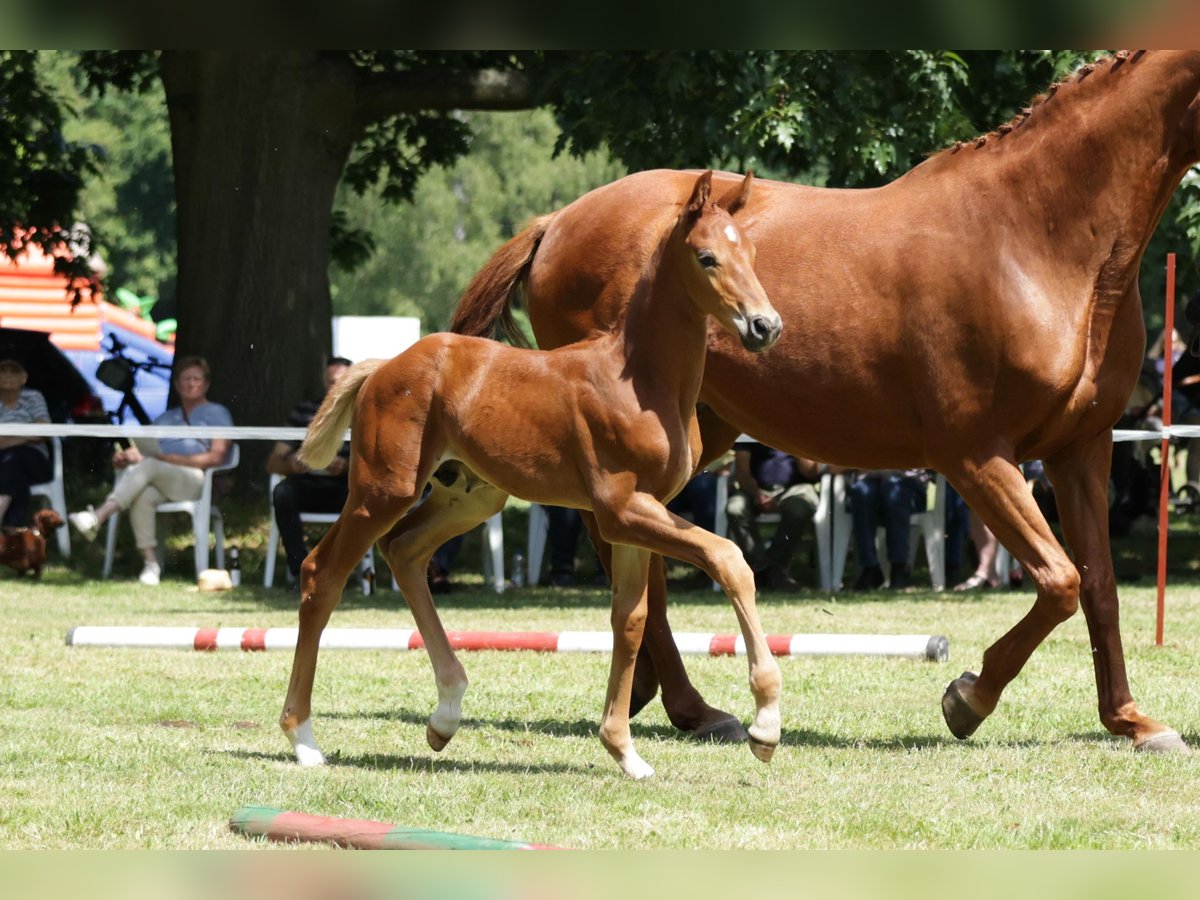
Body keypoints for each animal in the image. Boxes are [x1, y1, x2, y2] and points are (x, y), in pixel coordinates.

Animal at [282, 172, 787, 777]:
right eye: (707, 256)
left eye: (752, 253)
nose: (765, 326)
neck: (641, 379)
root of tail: (384, 366)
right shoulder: (621, 509)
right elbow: (729, 559)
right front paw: (764, 725)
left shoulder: (635, 519)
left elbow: (631, 619)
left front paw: (624, 751)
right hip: (381, 490)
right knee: (322, 573)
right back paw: (304, 739)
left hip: (471, 498)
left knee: (404, 552)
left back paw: (445, 715)